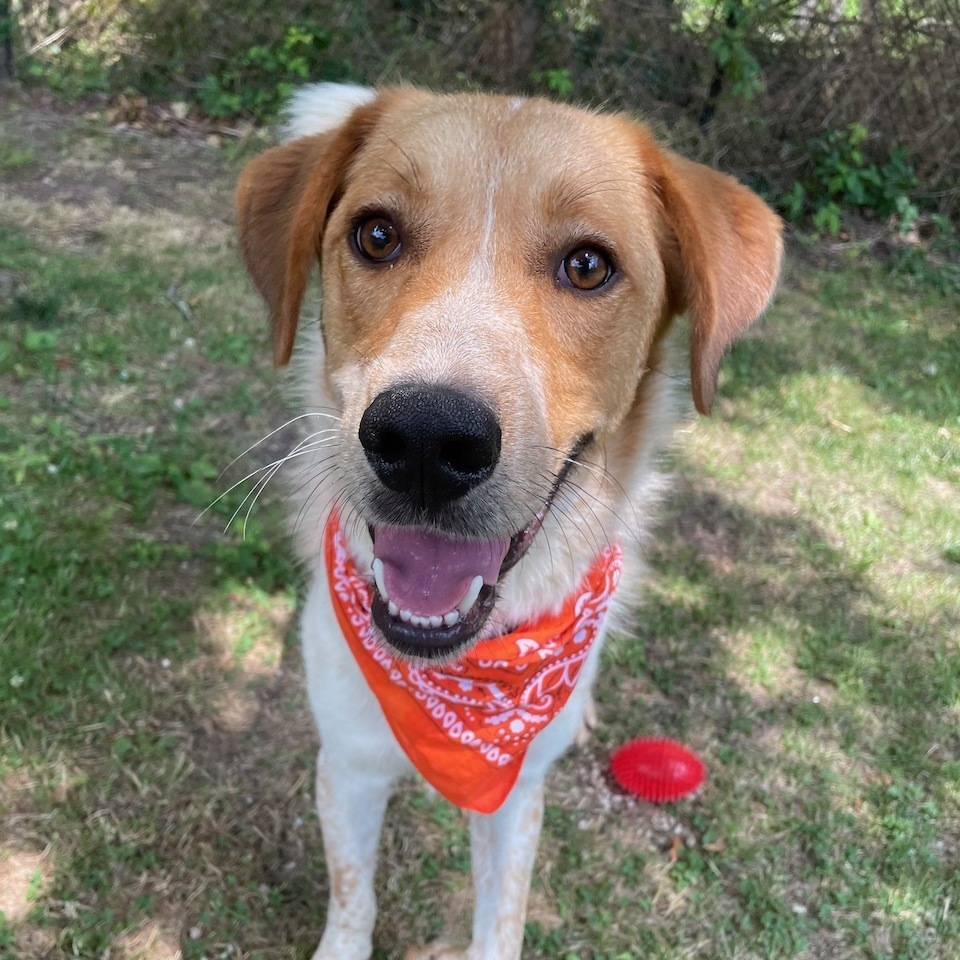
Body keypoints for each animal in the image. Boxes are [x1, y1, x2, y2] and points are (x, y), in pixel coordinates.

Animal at [234, 84, 780, 960]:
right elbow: (353, 899)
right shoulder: (347, 765)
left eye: (588, 265)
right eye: (376, 235)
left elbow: (502, 918)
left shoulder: (516, 796)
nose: (425, 439)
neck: (462, 675)